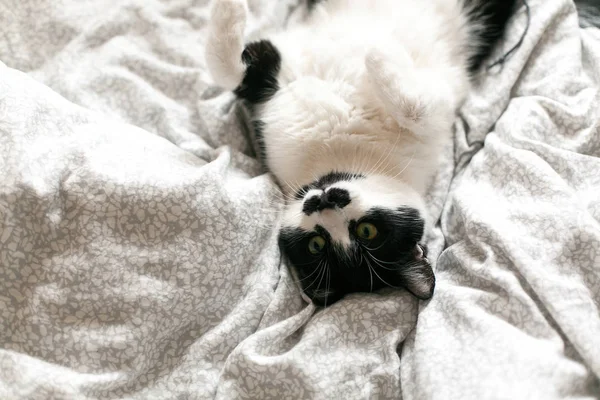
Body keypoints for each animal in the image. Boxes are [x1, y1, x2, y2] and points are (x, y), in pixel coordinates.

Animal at [206, 0, 516, 304]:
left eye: (367, 232)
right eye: (316, 244)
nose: (324, 202)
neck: (339, 151)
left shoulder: (440, 108)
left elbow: (415, 109)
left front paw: (379, 55)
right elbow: (229, 70)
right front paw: (229, 11)